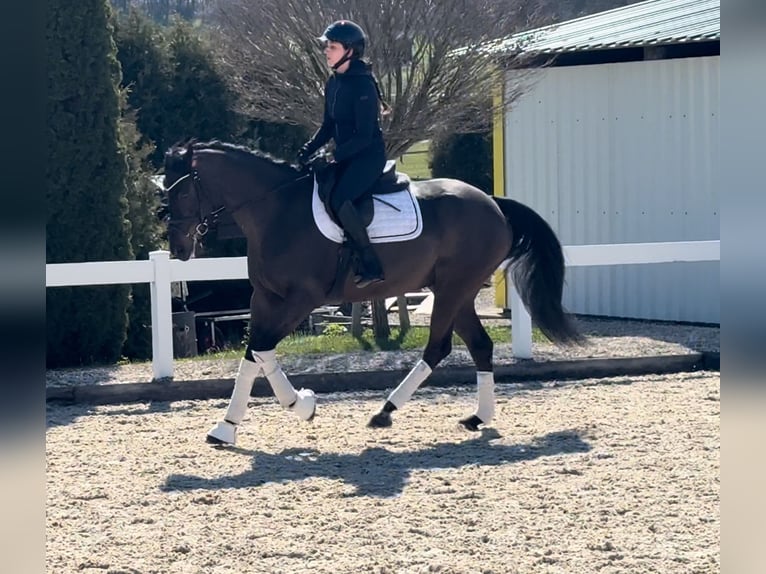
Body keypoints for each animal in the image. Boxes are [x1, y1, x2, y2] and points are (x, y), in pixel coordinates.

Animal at [162, 140, 583, 446]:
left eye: (179, 194)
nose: (178, 249)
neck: (276, 209)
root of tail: (492, 203)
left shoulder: (301, 300)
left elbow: (263, 350)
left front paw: (303, 405)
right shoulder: (264, 298)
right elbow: (252, 356)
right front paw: (226, 427)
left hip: (453, 289)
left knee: (438, 347)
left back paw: (385, 411)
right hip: (457, 291)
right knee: (479, 345)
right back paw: (476, 417)